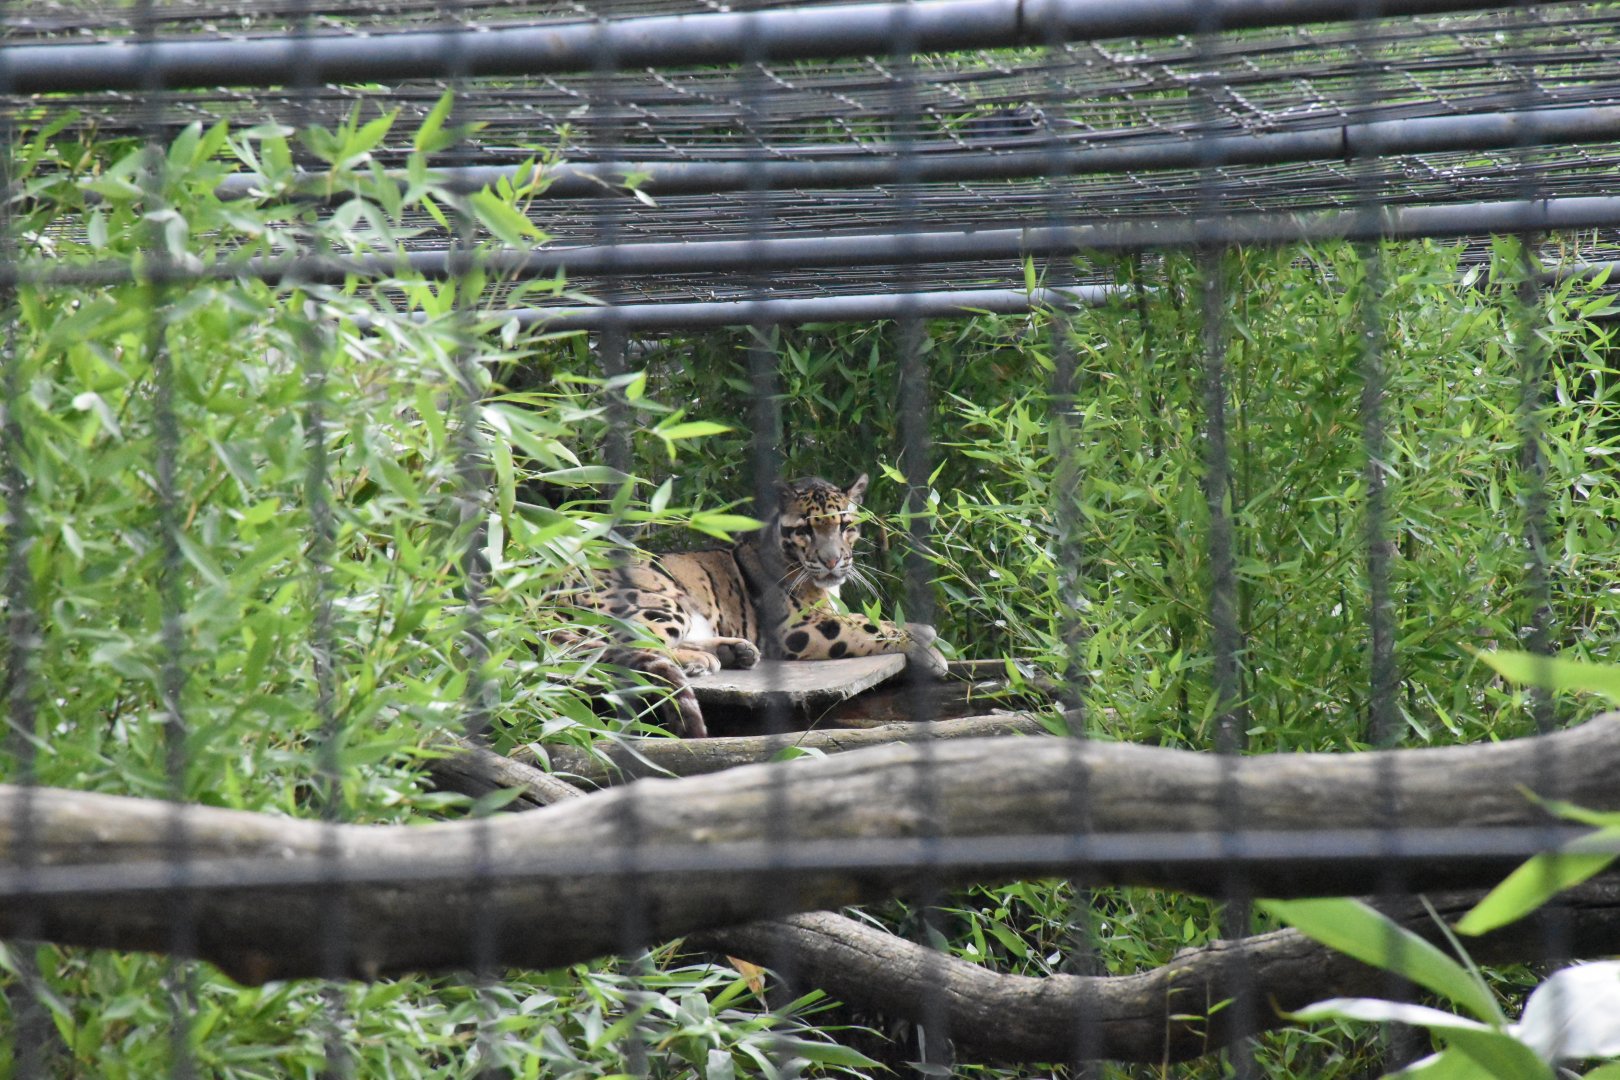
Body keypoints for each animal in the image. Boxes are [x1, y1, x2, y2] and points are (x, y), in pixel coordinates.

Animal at [568, 474, 946, 738]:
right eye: (805, 530)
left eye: (846, 525)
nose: (832, 560)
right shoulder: (797, 628)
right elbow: (867, 624)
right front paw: (928, 646)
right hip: (660, 601)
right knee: (613, 651)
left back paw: (732, 652)